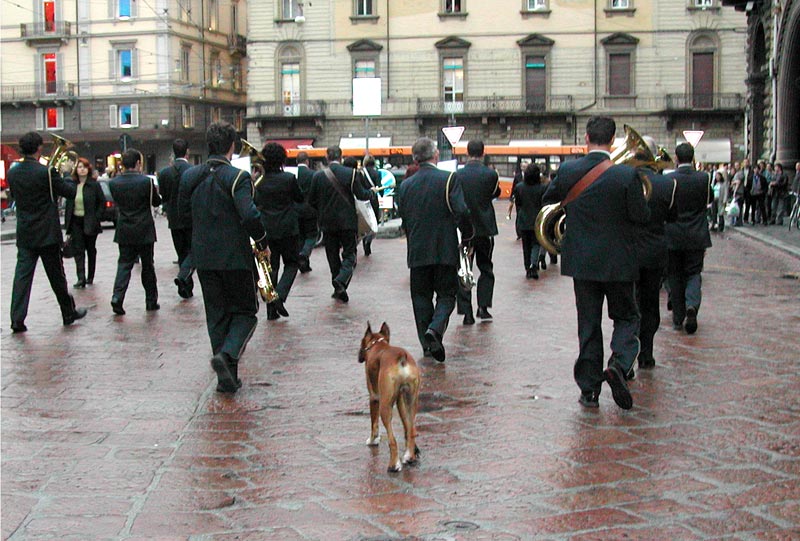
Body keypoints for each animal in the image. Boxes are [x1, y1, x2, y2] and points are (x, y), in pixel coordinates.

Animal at [360, 322, 422, 470]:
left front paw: (373, 440)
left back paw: (394, 465)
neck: (378, 344)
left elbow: (374, 424)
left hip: (385, 406)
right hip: (411, 401)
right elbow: (406, 425)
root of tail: (401, 355)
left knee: (392, 439)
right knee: (411, 430)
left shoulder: (374, 398)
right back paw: (409, 456)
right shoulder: (400, 400)